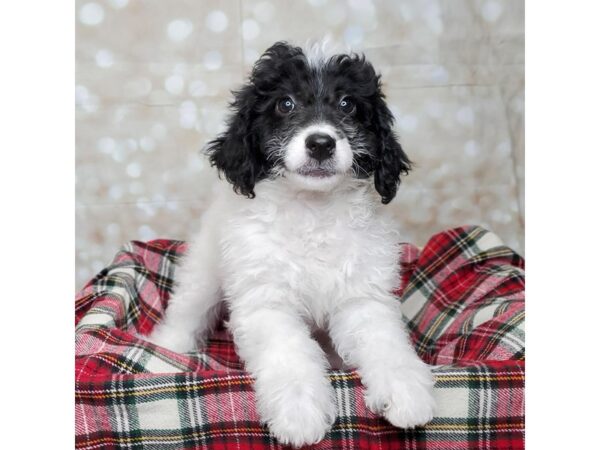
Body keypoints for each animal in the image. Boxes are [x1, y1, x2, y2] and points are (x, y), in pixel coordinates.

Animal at [147, 41, 434, 446]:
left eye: (347, 104)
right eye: (285, 103)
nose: (320, 143)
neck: (313, 210)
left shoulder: (363, 296)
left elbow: (385, 340)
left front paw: (406, 389)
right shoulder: (266, 302)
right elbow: (290, 353)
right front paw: (300, 412)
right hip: (205, 270)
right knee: (187, 312)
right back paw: (165, 351)